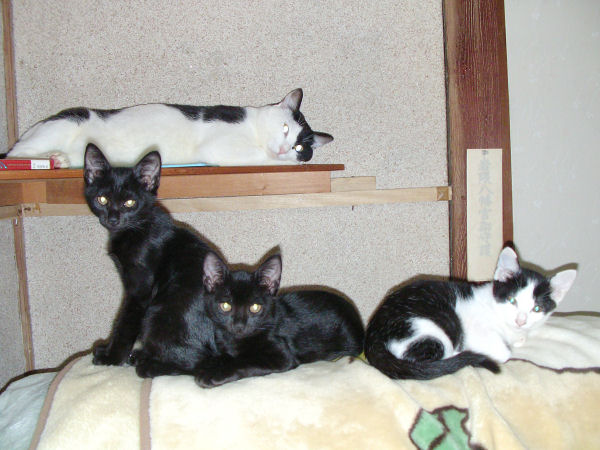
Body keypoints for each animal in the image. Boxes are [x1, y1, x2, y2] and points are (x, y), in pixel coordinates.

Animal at [83, 143, 211, 366]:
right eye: (102, 199)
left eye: (130, 203)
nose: (113, 219)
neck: (136, 230)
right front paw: (107, 350)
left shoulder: (139, 290)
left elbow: (124, 324)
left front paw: (112, 357)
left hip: (156, 312)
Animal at [132, 251, 365, 388]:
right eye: (225, 306)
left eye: (255, 308)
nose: (239, 325)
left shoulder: (282, 356)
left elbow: (246, 361)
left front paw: (214, 374)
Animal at [364, 246, 577, 380]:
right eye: (512, 301)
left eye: (537, 309)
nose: (520, 320)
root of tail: (372, 336)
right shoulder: (478, 330)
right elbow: (505, 353)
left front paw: (520, 337)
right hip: (428, 329)